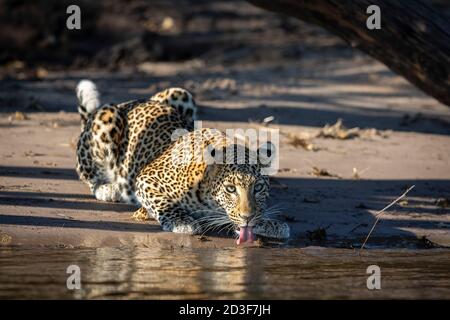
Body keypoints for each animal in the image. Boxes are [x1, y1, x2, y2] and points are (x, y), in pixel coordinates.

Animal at [75, 80, 290, 242]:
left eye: (258, 187)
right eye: (230, 189)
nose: (248, 217)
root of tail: (126, 103)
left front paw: (267, 222)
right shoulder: (147, 177)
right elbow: (162, 202)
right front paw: (181, 222)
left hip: (180, 93)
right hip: (107, 118)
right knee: (87, 174)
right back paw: (107, 188)